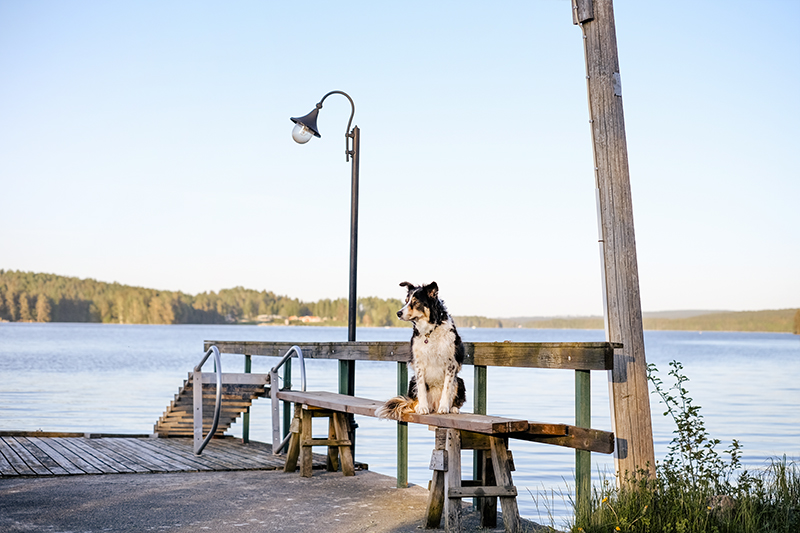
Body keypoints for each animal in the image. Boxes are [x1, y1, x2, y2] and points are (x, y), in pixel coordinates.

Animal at [376, 282, 466, 420]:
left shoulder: (451, 363)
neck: (430, 331)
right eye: (406, 301)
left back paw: (452, 408)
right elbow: (421, 388)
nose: (398, 313)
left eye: (415, 302)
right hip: (412, 380)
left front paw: (444, 408)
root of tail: (434, 404)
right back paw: (420, 406)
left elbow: (447, 388)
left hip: (460, 381)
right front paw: (423, 408)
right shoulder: (419, 364)